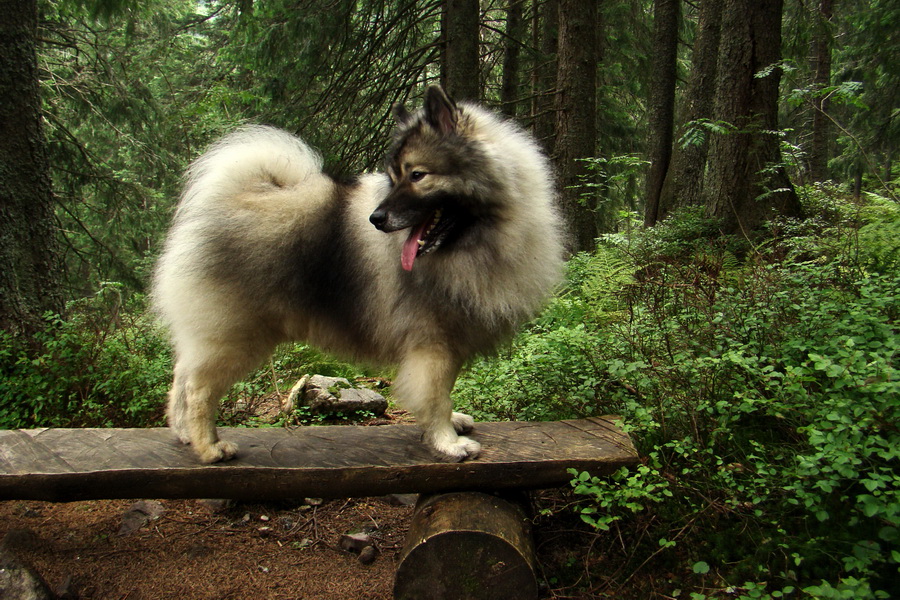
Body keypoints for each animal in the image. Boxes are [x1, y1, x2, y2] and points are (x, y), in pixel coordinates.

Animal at [152, 86, 568, 464]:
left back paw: (183, 433)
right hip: (237, 336)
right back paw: (209, 447)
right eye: (394, 177)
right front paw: (448, 442)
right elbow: (435, 396)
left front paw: (452, 423)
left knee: (181, 379)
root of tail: (228, 202)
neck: (480, 236)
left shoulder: (448, 340)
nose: (377, 218)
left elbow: (445, 392)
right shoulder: (431, 342)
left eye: (417, 175)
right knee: (199, 389)